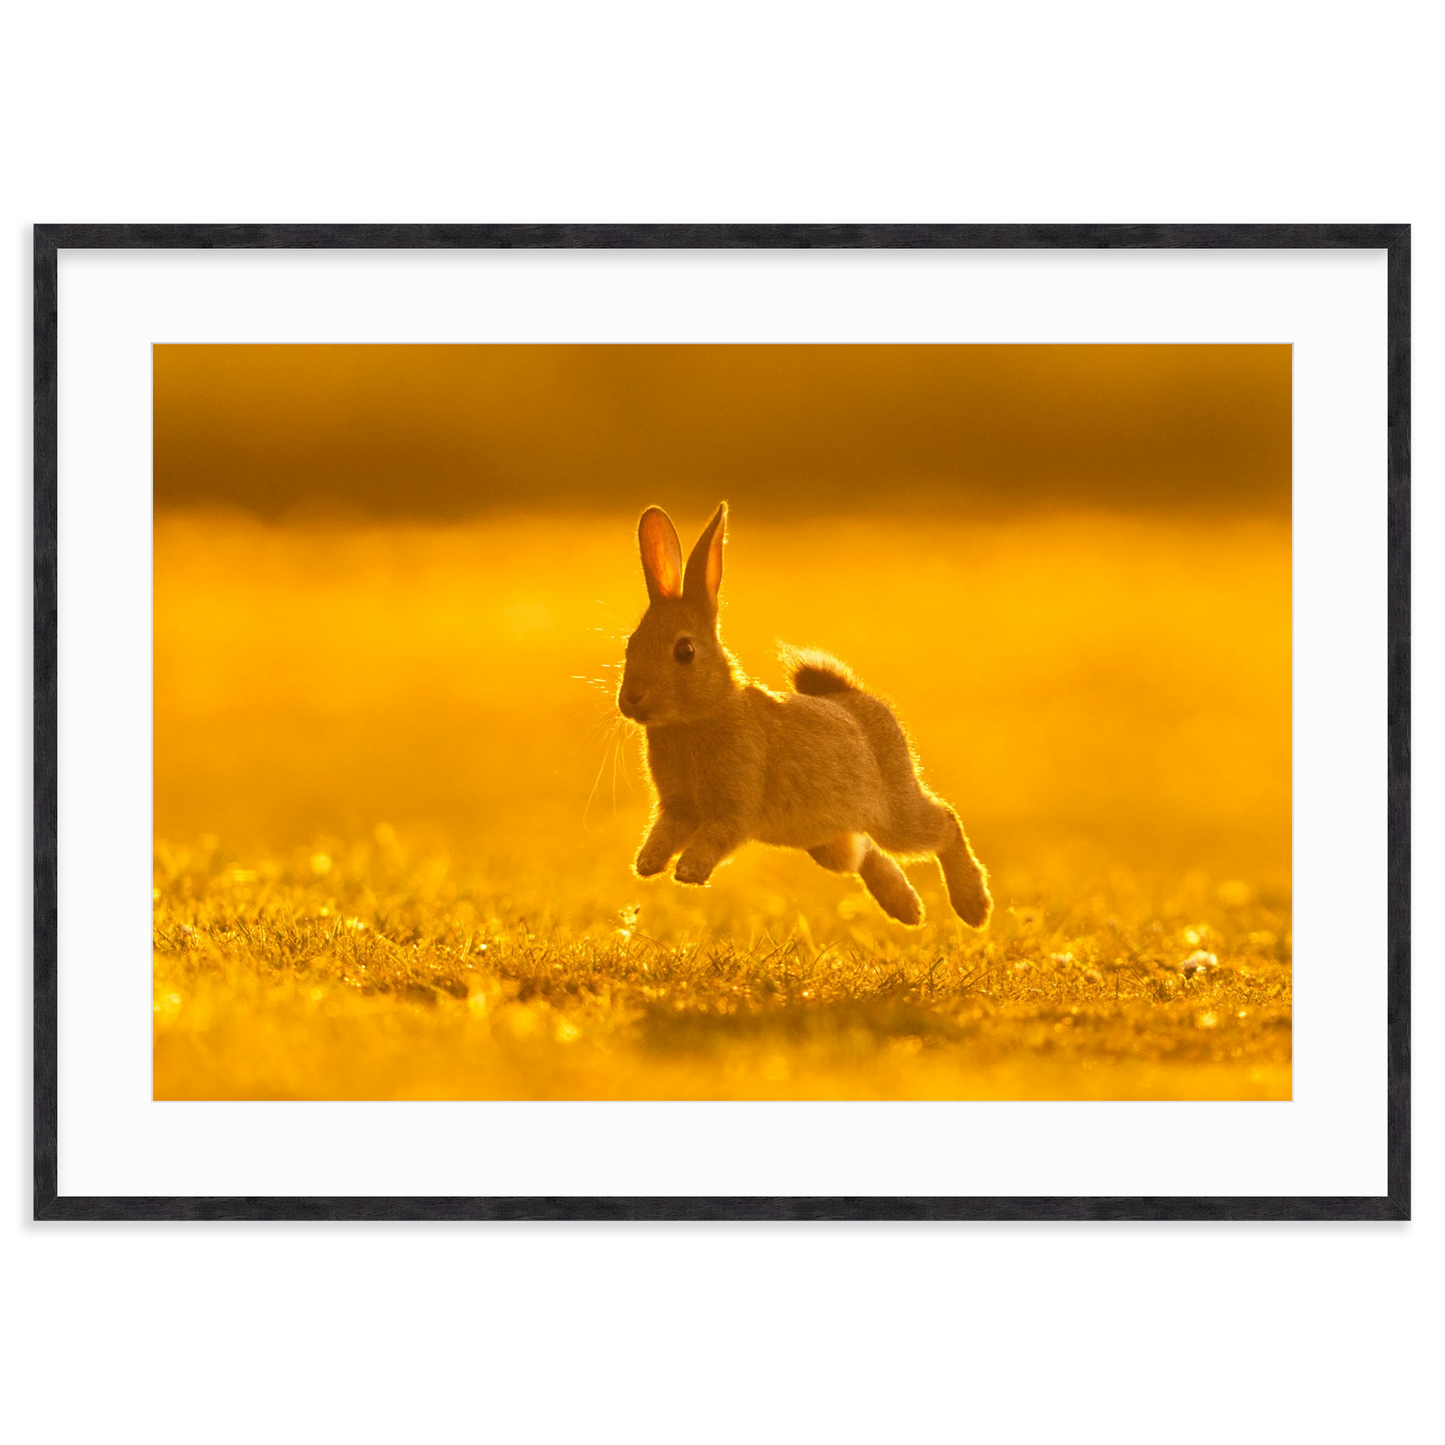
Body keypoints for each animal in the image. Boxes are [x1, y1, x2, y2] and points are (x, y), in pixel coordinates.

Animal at [616, 502, 992, 928]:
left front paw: (689, 871)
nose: (631, 700)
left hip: (894, 814)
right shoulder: (677, 808)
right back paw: (908, 910)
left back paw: (973, 907)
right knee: (864, 852)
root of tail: (853, 696)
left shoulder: (734, 807)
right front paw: (647, 864)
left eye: (684, 651)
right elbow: (665, 832)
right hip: (828, 841)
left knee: (944, 823)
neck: (699, 716)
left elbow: (717, 835)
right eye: (631, 644)